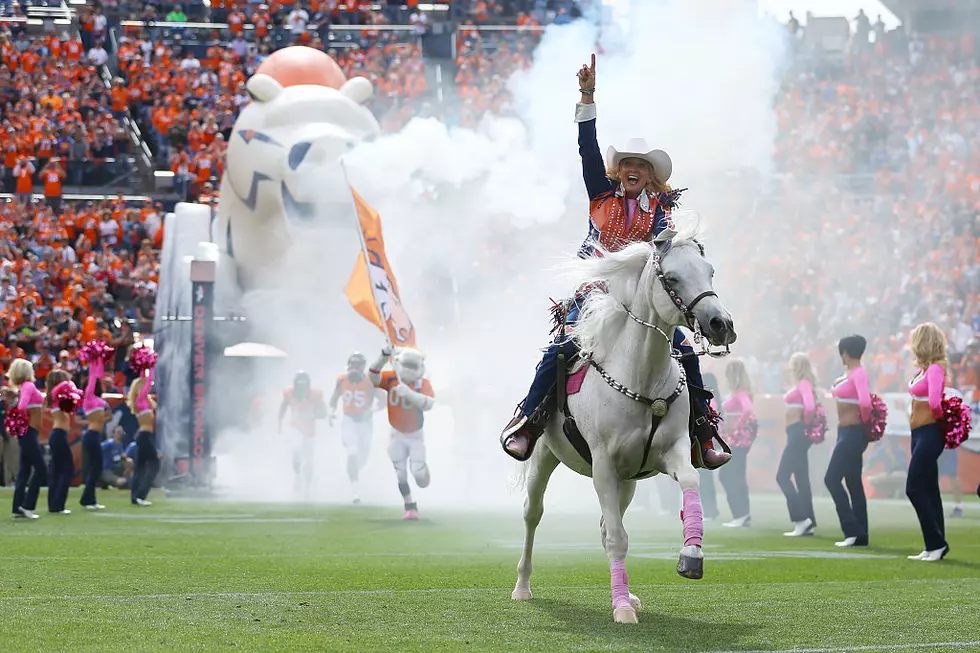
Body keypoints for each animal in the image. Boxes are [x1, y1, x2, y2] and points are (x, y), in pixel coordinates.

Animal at [512, 223, 736, 620]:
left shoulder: (672, 451)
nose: (720, 324)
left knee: (605, 525)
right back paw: (523, 586)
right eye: (673, 278)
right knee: (533, 514)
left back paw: (628, 594)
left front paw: (691, 556)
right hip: (544, 457)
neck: (641, 378)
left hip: (628, 482)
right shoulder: (603, 466)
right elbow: (617, 539)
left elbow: (690, 481)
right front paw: (621, 611)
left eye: (709, 272)